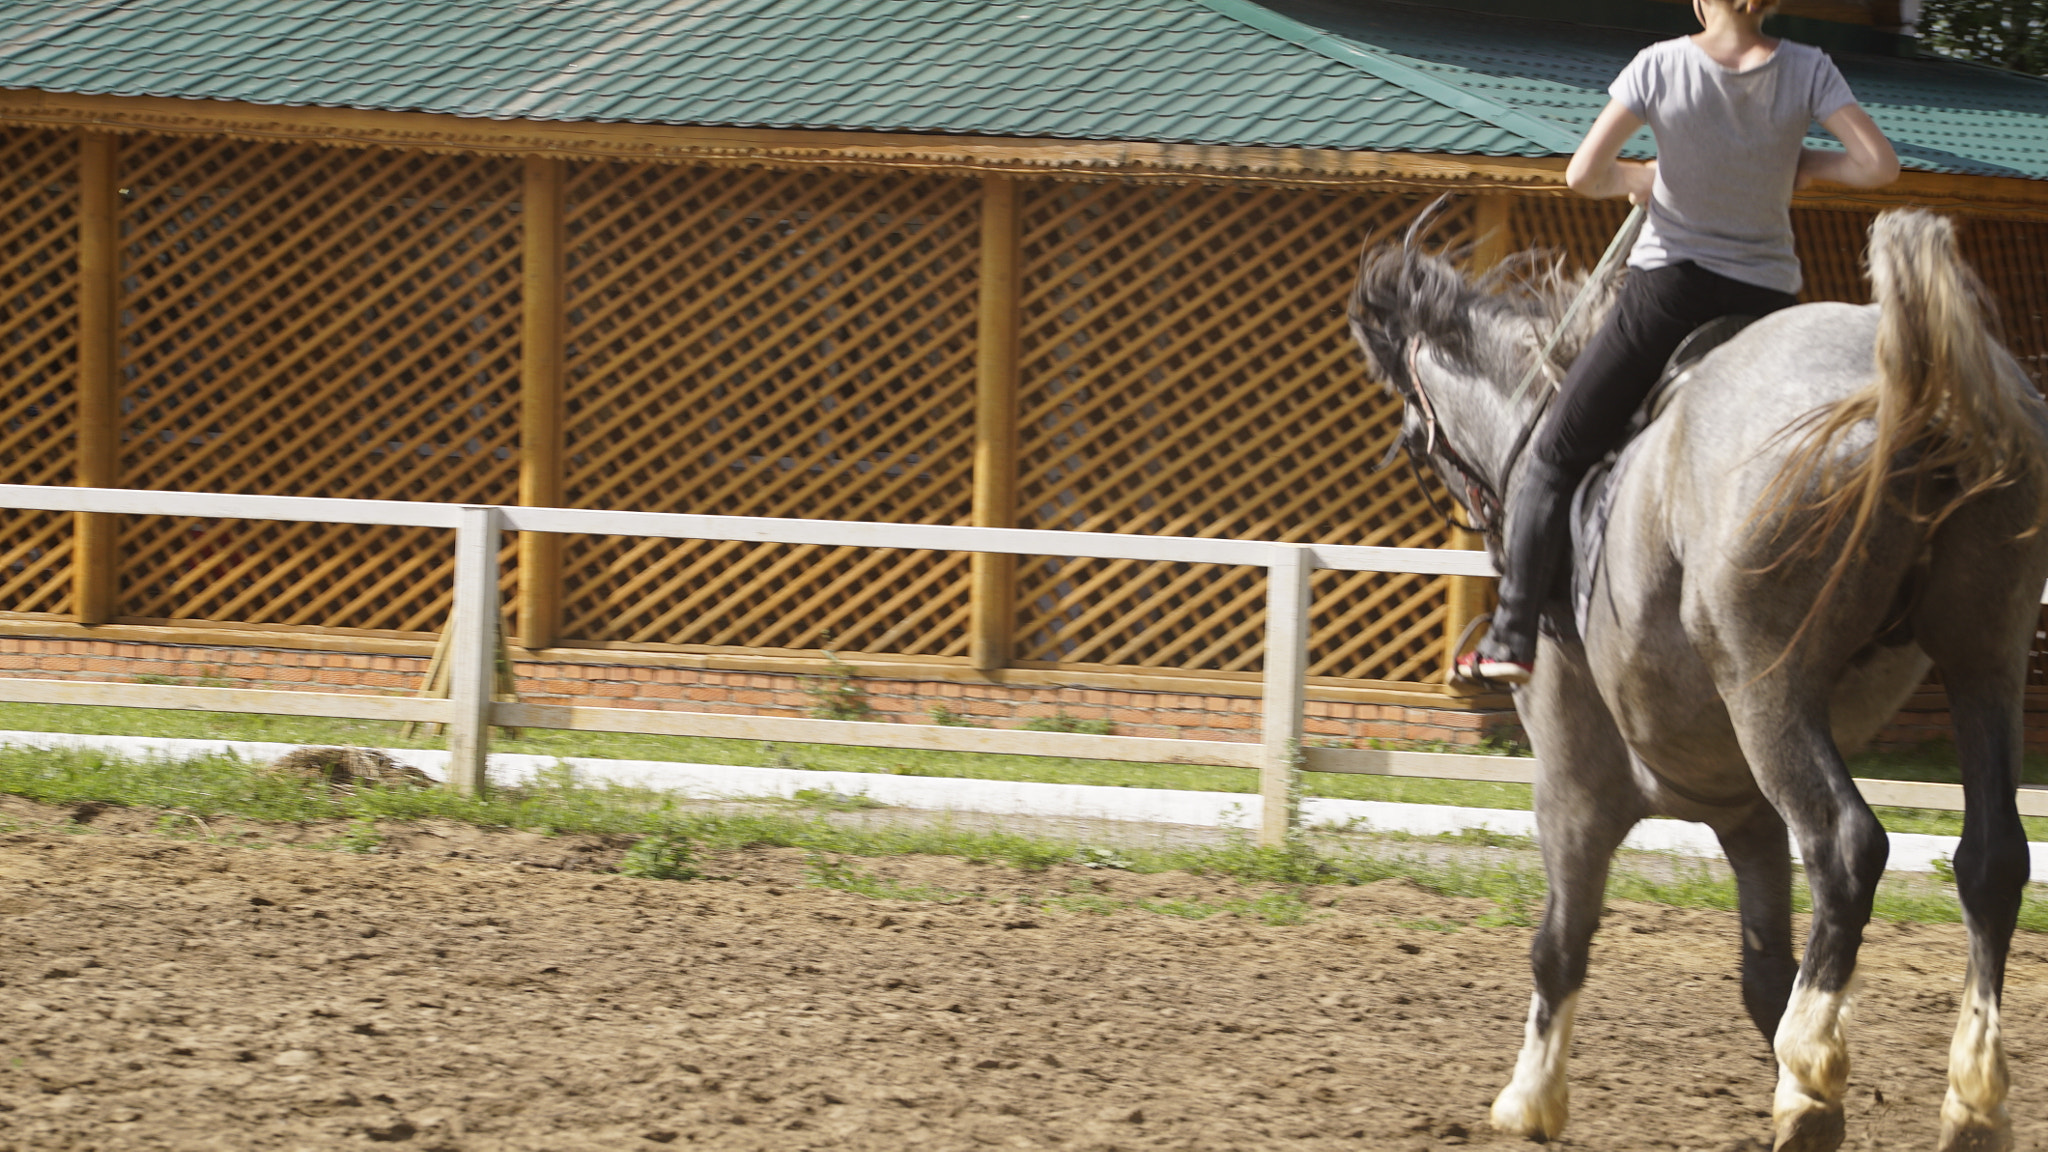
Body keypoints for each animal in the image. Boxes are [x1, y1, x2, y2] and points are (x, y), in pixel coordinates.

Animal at [1343, 208, 2048, 1147]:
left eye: (1415, 437)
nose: (1483, 521)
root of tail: (1914, 376)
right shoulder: (1746, 816)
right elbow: (1763, 973)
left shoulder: (1573, 785)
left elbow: (1560, 943)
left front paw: (1532, 1098)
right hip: (1986, 660)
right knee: (1992, 859)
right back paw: (1970, 1095)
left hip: (1768, 683)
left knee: (1846, 846)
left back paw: (1812, 1080)